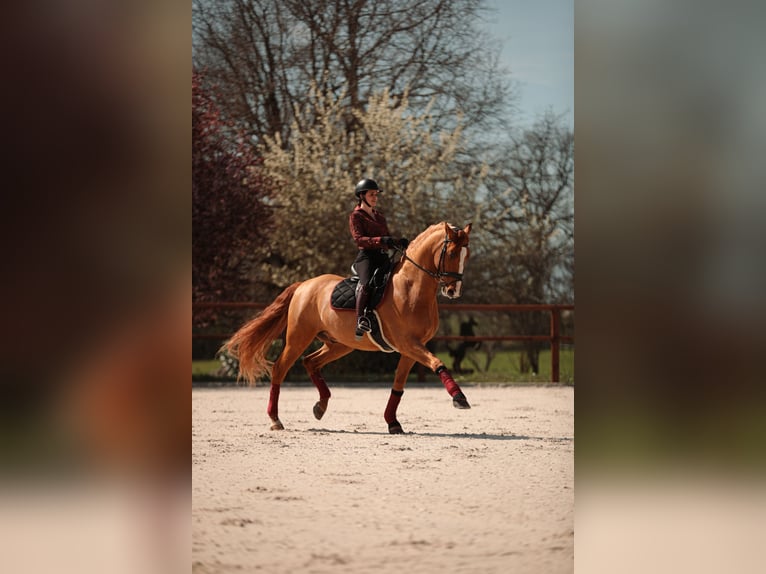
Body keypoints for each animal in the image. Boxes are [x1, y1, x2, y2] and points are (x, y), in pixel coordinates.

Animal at [224, 223, 474, 434]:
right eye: (452, 254)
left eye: (467, 256)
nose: (453, 291)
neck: (411, 287)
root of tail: (304, 286)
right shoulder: (408, 344)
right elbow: (437, 363)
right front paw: (459, 398)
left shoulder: (411, 348)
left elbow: (398, 385)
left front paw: (392, 422)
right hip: (299, 338)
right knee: (279, 369)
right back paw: (276, 419)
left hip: (340, 344)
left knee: (310, 362)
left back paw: (320, 406)